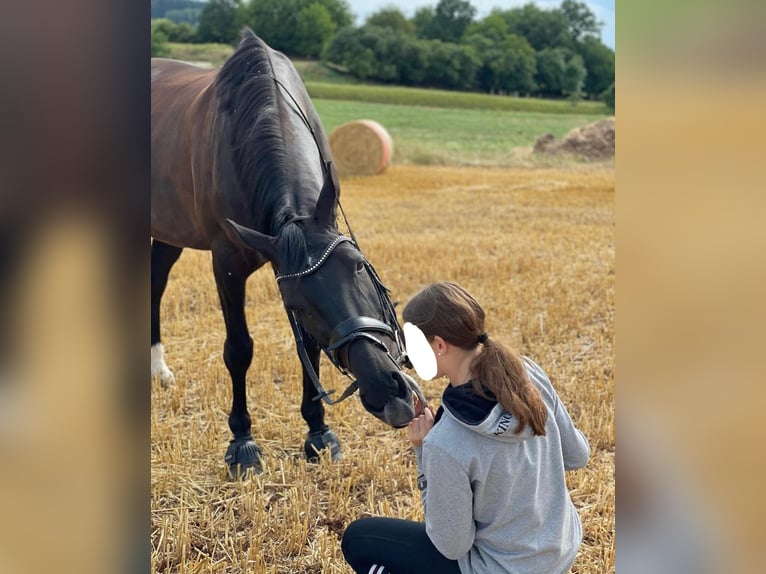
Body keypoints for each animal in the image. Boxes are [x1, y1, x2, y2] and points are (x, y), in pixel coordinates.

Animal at [150, 31, 426, 480]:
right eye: (298, 303)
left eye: (358, 267)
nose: (388, 391)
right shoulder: (227, 264)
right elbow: (238, 350)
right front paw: (242, 442)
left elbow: (307, 349)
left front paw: (318, 432)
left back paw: (158, 369)